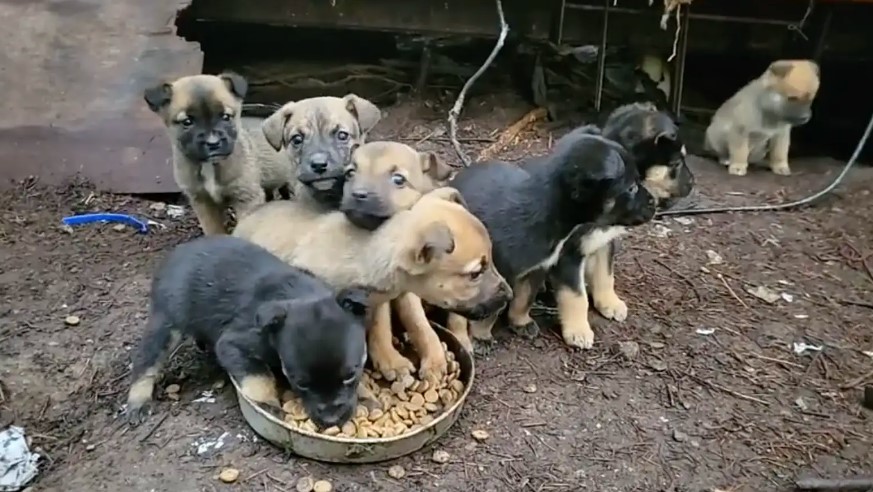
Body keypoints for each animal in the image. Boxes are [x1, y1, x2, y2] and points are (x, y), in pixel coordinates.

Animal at [124, 235, 370, 430]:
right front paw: (268, 404)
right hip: (167, 325)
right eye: (300, 383)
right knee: (146, 362)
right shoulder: (234, 345)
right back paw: (138, 401)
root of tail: (173, 256)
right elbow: (258, 377)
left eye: (351, 375)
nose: (331, 420)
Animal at [442, 131, 656, 352]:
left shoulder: (596, 246)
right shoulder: (567, 258)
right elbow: (577, 296)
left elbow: (604, 276)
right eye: (631, 188)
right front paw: (578, 331)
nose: (655, 203)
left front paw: (609, 303)